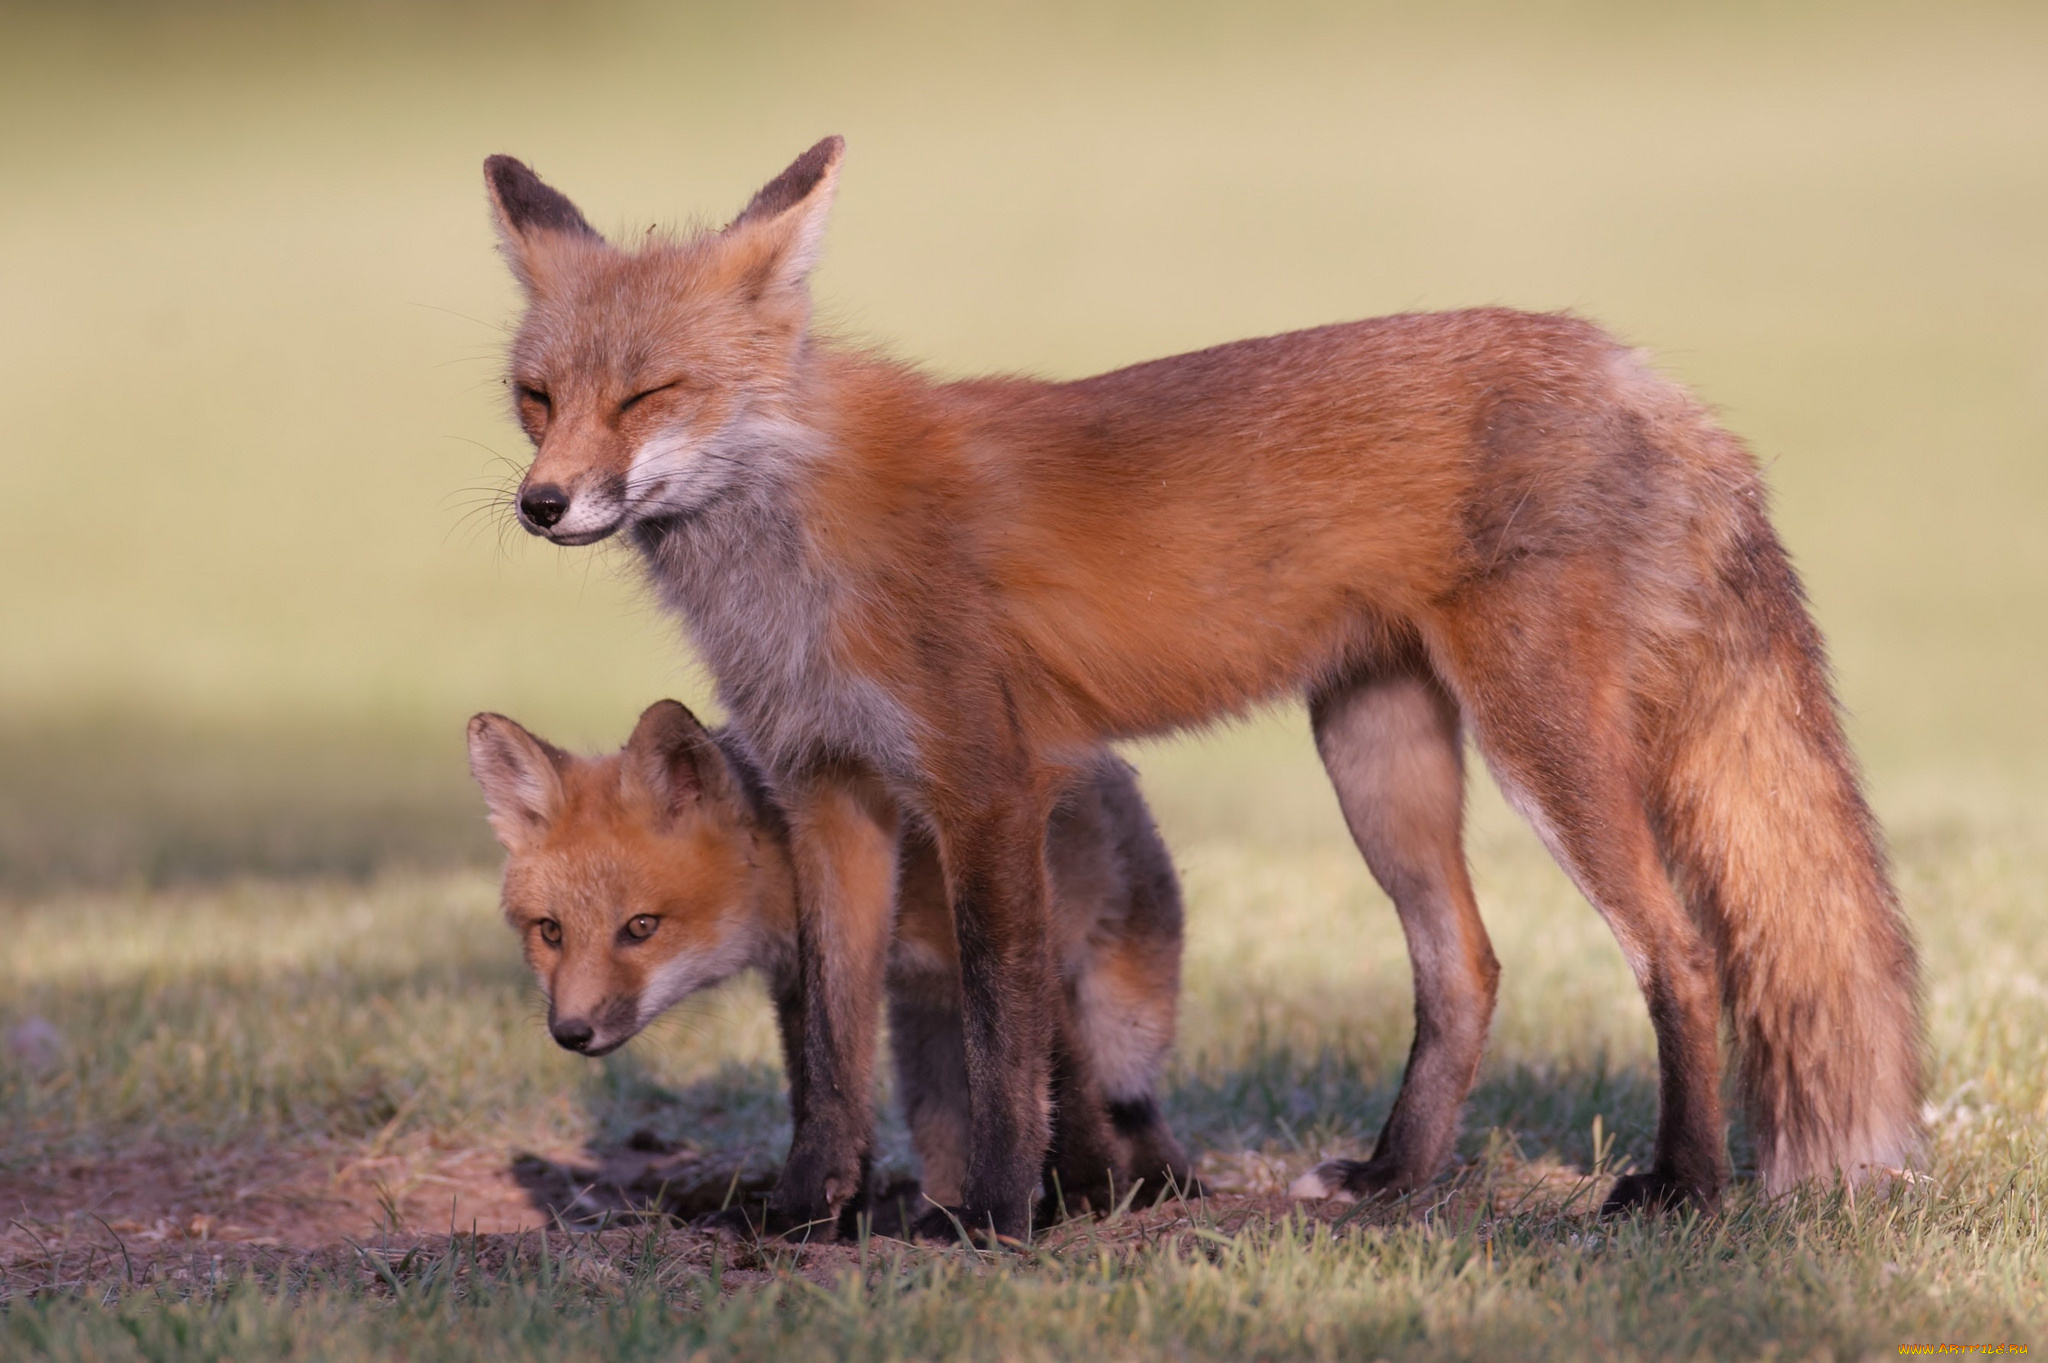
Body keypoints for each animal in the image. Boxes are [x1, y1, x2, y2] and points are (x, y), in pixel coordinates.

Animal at [483, 140, 1916, 1244]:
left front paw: (990, 1216)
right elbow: (831, 1047)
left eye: (648, 394)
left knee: (1679, 948)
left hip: (1538, 747)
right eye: (536, 398)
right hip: (1374, 751)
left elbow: (1007, 1029)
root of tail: (1658, 386)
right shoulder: (831, 794)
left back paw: (1683, 1184)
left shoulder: (985, 782)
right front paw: (805, 1212)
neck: (791, 545)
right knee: (1464, 964)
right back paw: (1392, 1176)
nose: (541, 505)